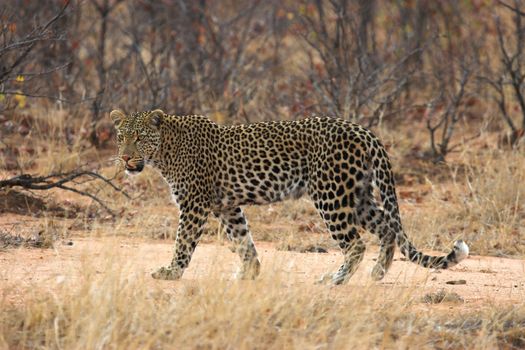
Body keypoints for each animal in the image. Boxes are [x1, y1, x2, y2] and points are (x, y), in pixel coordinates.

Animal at [109, 109, 466, 284]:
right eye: (120, 136)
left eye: (139, 137)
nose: (125, 158)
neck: (165, 151)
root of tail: (364, 130)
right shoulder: (227, 206)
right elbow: (243, 240)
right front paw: (249, 273)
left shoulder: (194, 204)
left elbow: (183, 242)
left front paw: (171, 272)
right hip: (359, 194)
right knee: (387, 228)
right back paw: (378, 273)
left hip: (331, 195)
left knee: (356, 243)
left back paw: (335, 279)